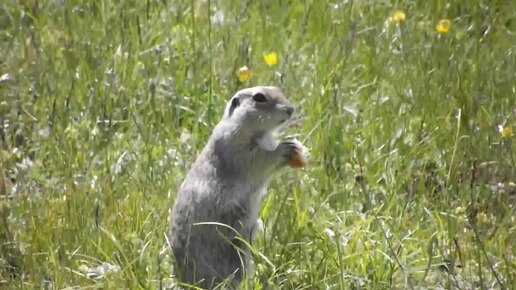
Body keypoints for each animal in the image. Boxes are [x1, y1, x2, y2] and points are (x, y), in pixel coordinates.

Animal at [169, 85, 306, 288]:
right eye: (259, 98)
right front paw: (286, 147)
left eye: (278, 89)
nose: (290, 109)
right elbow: (261, 159)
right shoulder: (238, 148)